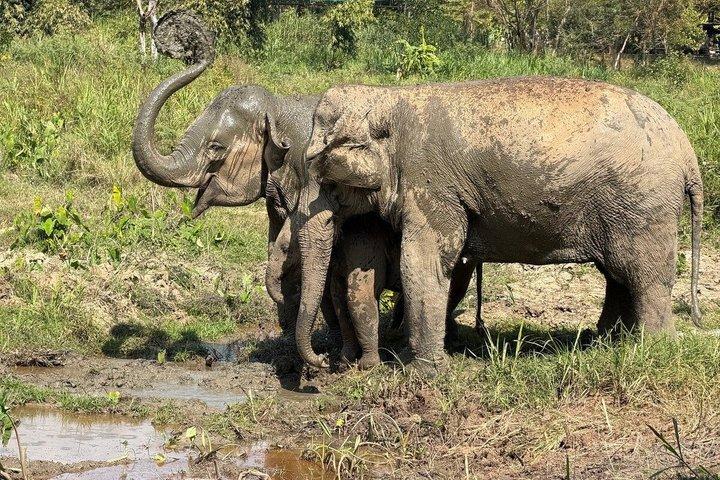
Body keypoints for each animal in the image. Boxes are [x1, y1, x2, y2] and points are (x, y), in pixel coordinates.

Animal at [285, 76, 704, 373]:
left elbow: (423, 261)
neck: (390, 98)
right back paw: (603, 342)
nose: (324, 362)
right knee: (617, 274)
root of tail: (687, 151)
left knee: (645, 277)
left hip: (643, 205)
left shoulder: (431, 185)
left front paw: (428, 373)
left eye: (327, 180)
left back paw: (652, 349)